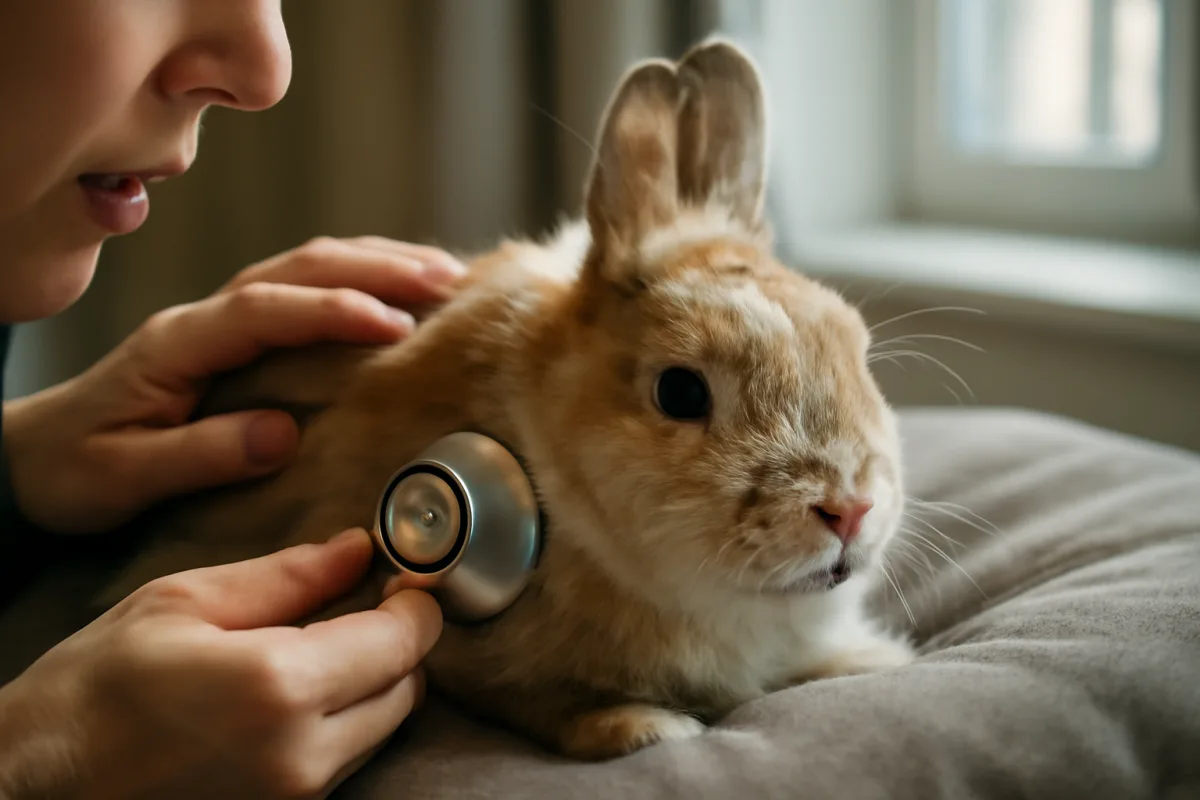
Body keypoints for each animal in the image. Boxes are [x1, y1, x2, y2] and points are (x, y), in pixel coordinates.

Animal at [96, 38, 914, 761]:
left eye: (855, 348)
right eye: (680, 391)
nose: (850, 509)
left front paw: (874, 662)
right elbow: (540, 703)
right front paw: (644, 729)